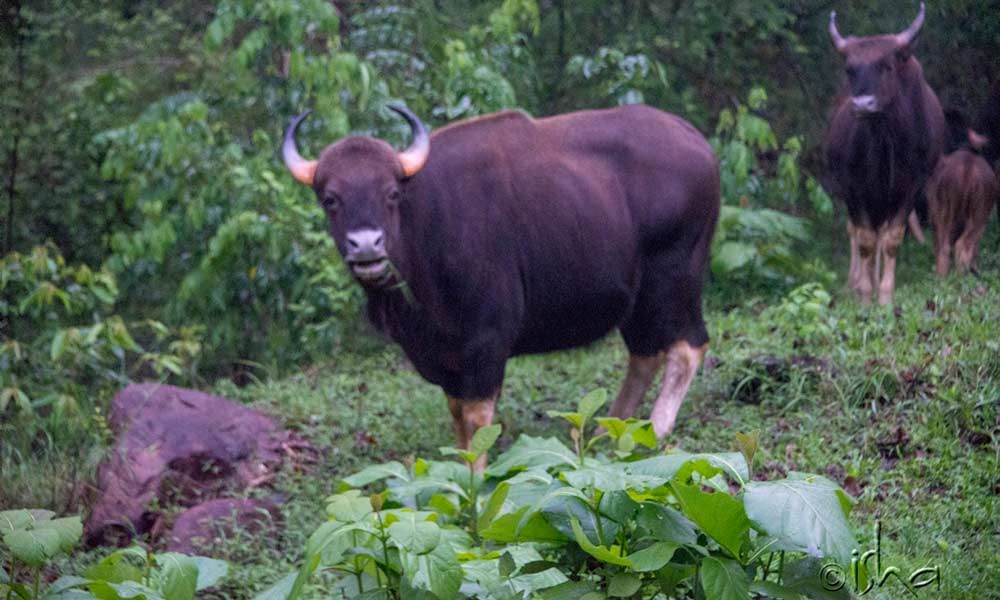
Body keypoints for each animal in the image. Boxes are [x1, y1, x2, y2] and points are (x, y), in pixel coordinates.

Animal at [924, 139, 996, 276]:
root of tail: (967, 169)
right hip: (975, 213)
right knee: (958, 244)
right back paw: (960, 276)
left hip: (945, 211)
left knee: (945, 245)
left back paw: (943, 277)